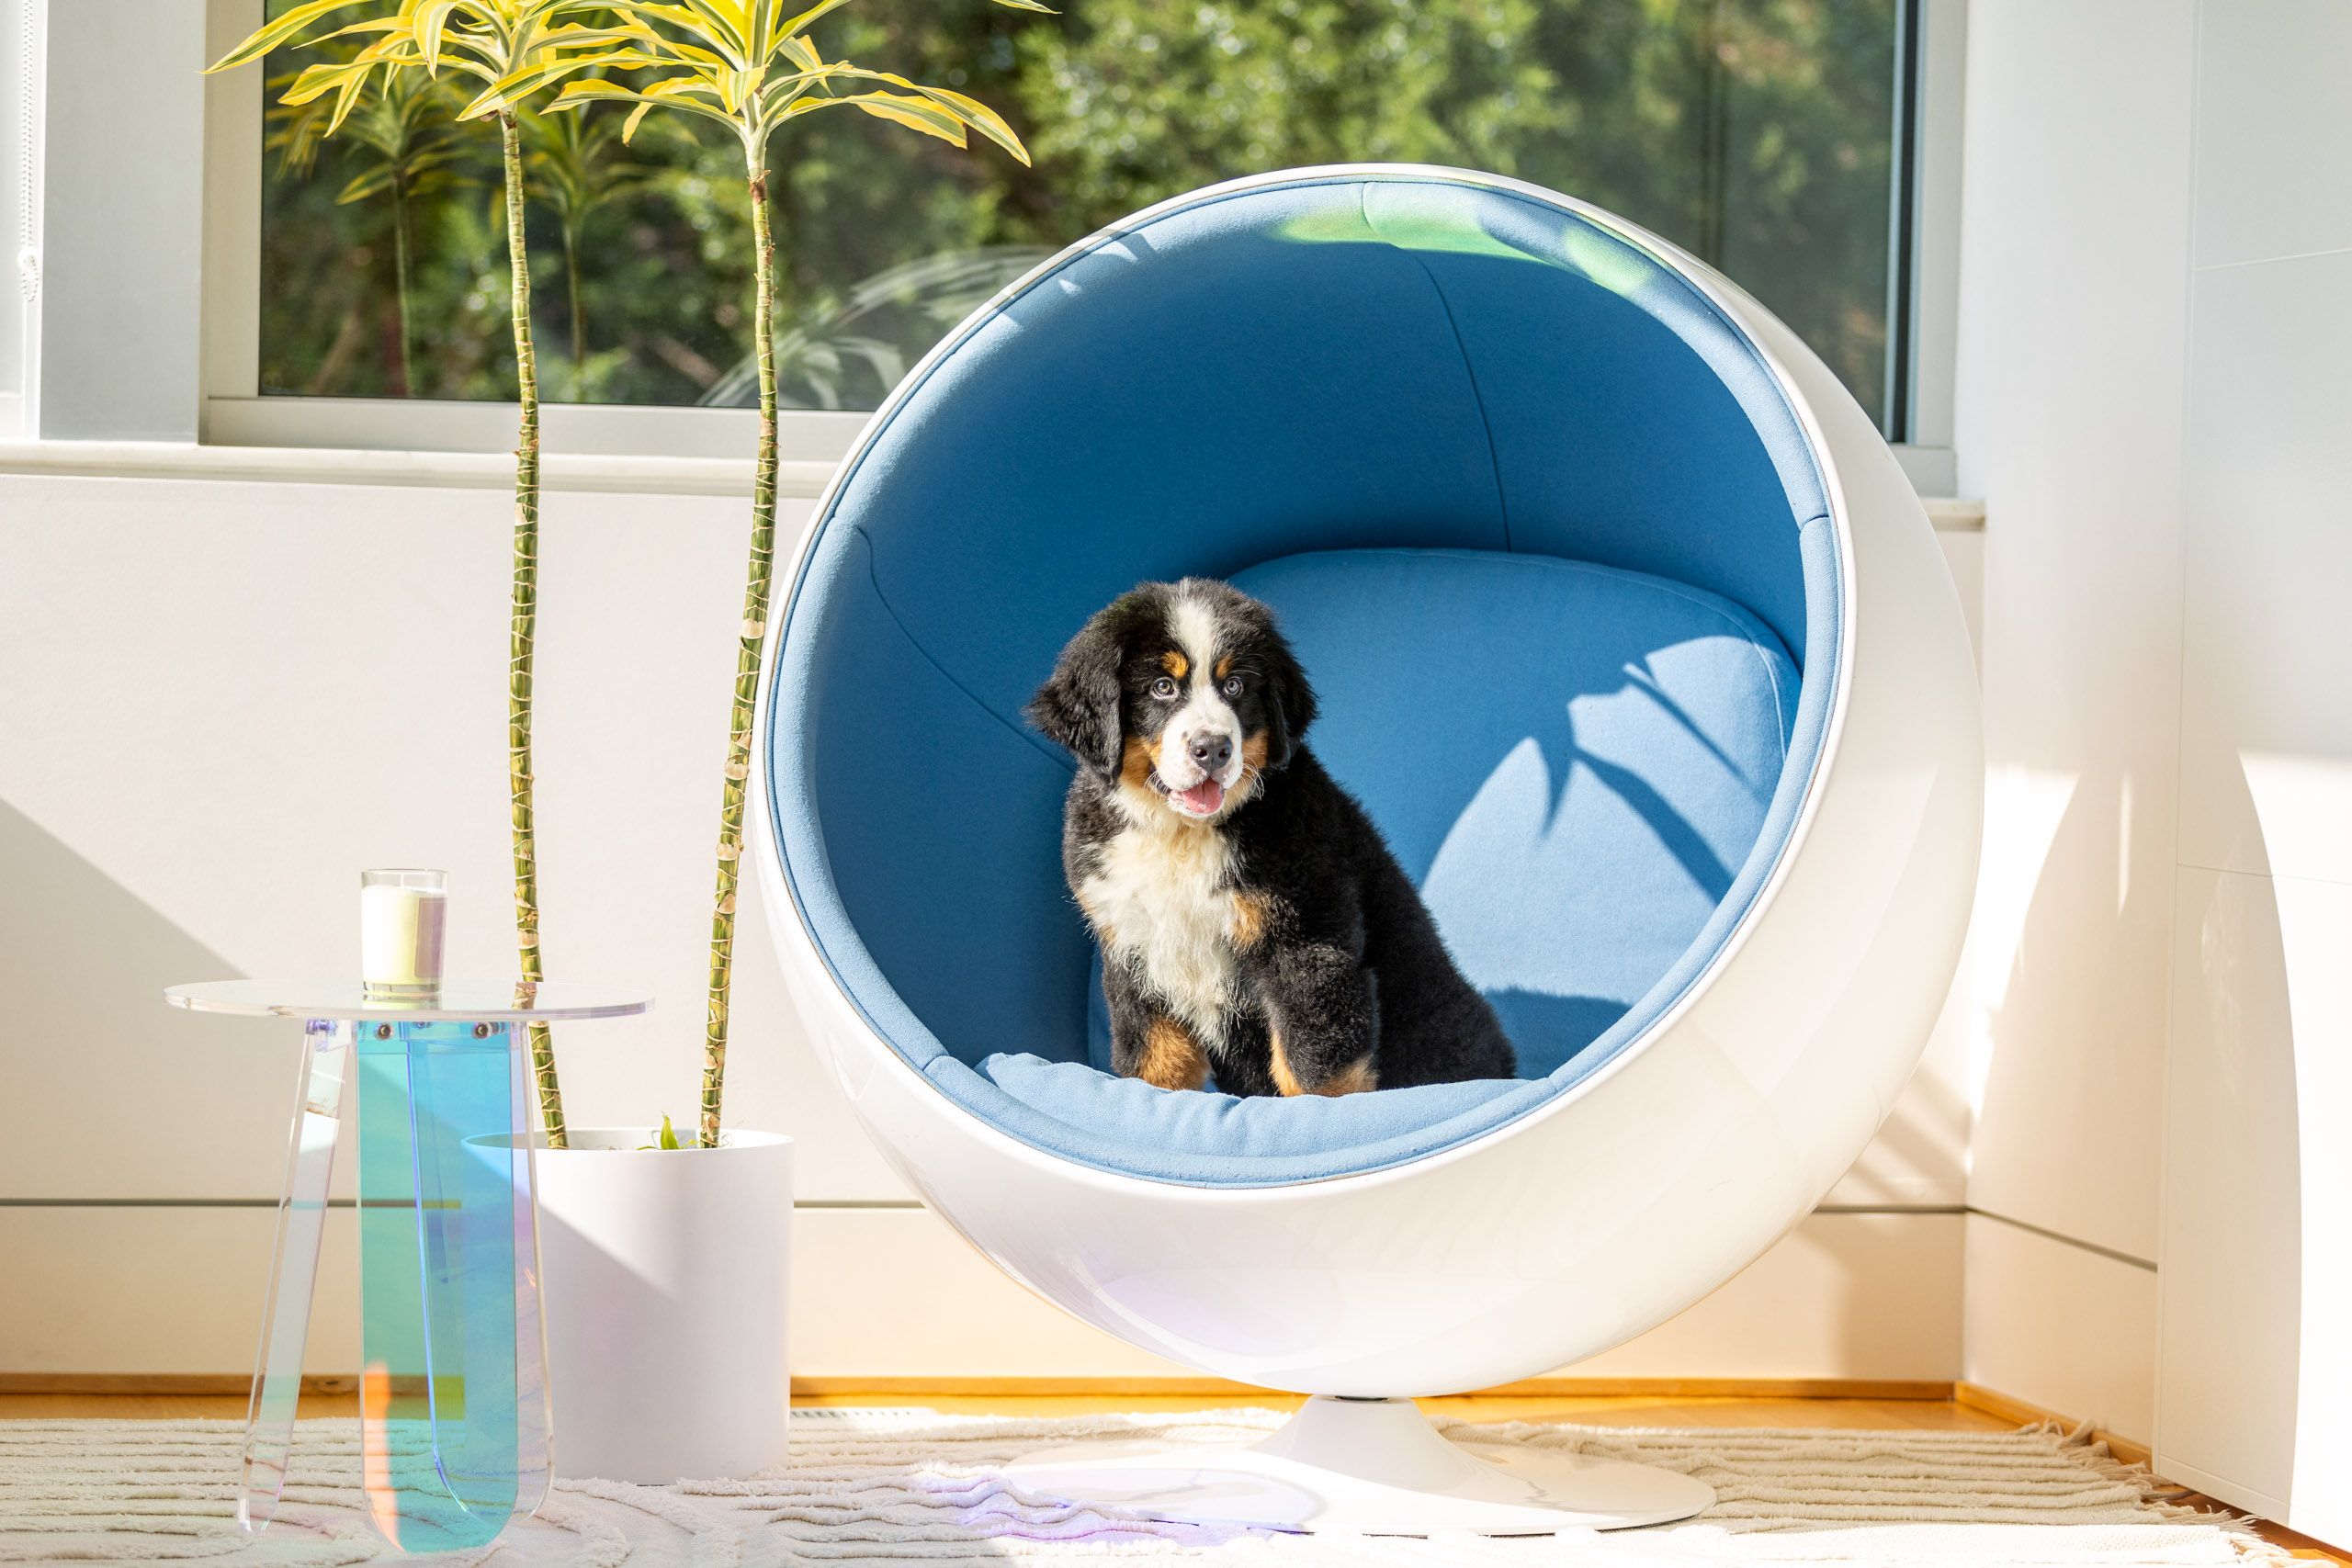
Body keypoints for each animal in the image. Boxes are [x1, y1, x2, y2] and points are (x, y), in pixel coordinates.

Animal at [1025, 581, 1505, 1104]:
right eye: (1162, 686)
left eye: (1234, 685)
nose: (1213, 749)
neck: (1183, 835)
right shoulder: (1135, 952)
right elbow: (1154, 1061)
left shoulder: (1306, 942)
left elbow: (1315, 1070)